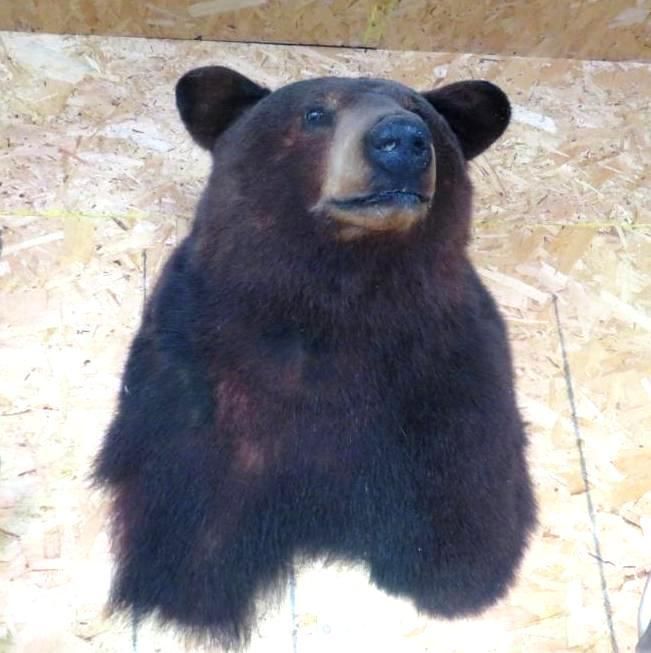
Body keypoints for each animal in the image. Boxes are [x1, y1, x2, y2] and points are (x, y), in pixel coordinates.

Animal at [93, 65, 537, 649]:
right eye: (315, 113)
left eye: (420, 113)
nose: (401, 141)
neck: (338, 287)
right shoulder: (203, 362)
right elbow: (191, 497)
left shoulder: (446, 361)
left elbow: (466, 471)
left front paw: (455, 574)